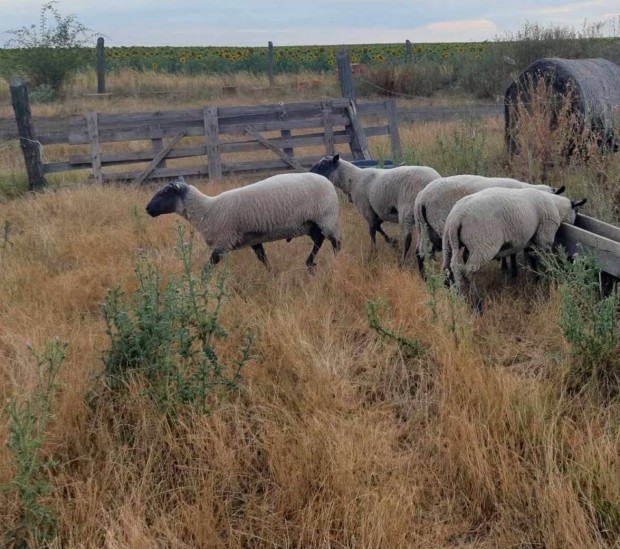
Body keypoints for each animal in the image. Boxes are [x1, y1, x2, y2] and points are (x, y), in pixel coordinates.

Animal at [145, 174, 342, 270]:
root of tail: (328, 182)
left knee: (335, 242)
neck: (207, 210)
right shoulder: (253, 239)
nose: (147, 209)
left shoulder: (221, 243)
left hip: (327, 217)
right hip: (311, 223)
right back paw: (309, 263)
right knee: (319, 239)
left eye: (164, 192)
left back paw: (336, 262)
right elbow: (263, 259)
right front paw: (271, 274)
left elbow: (206, 270)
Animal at [310, 152, 440, 264]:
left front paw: (373, 252)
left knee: (408, 239)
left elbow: (372, 230)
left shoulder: (367, 209)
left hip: (407, 211)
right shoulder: (378, 211)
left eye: (323, 165)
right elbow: (378, 226)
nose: (310, 172)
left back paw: (403, 260)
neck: (353, 180)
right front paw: (392, 242)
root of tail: (431, 180)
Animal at [414, 176, 564, 276]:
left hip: (424, 227)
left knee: (420, 252)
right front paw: (509, 269)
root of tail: (422, 198)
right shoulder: (513, 227)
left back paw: (424, 277)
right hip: (441, 226)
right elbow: (512, 252)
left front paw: (506, 267)